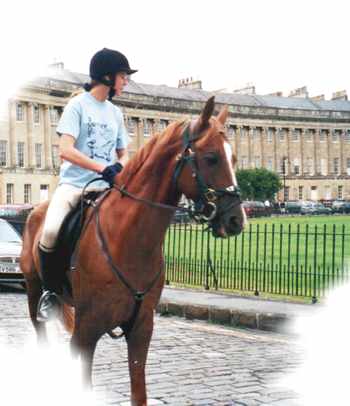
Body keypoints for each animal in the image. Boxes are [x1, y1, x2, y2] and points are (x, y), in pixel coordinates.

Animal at [19, 96, 246, 406]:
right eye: (211, 157)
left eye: (233, 158)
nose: (237, 220)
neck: (130, 240)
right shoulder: (87, 331)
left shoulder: (141, 329)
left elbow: (139, 392)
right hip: (33, 291)